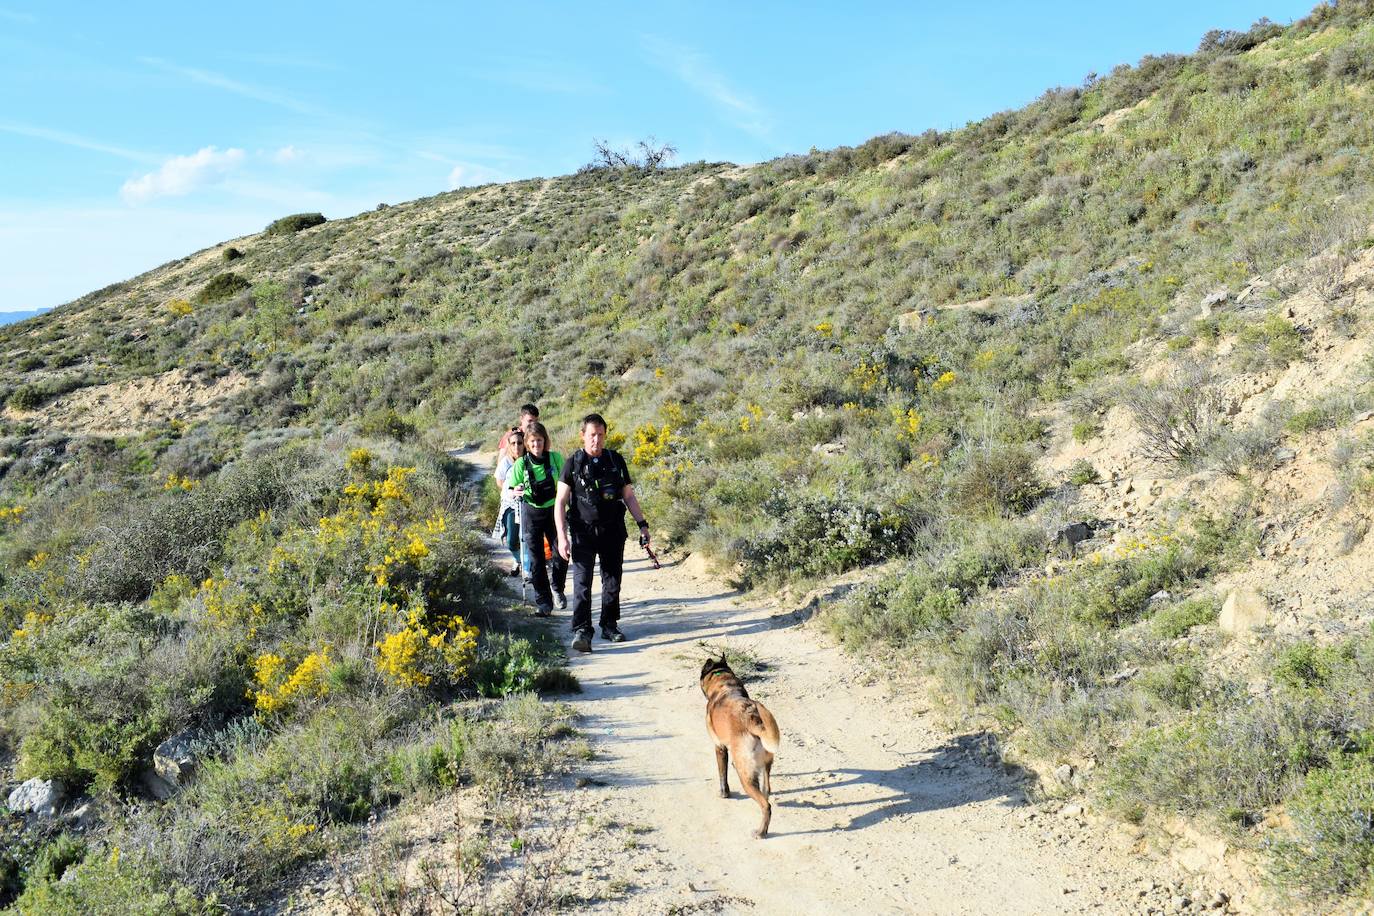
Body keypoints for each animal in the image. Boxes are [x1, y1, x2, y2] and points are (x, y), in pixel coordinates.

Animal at [697, 656, 785, 840]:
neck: (723, 682)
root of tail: (753, 720)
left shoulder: (719, 747)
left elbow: (722, 774)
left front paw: (724, 793)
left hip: (746, 777)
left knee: (766, 806)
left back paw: (761, 832)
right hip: (765, 764)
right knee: (767, 788)